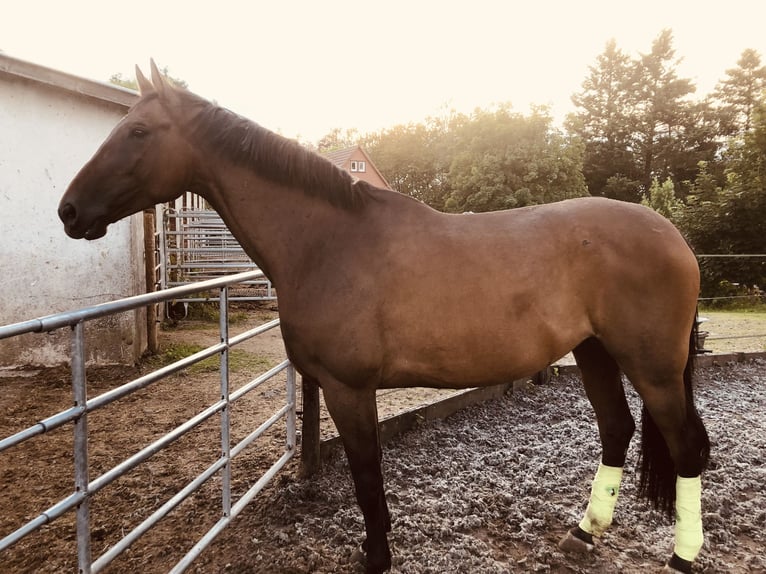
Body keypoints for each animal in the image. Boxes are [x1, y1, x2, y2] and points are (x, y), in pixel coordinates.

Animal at [57, 63, 712, 574]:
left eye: (138, 131)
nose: (69, 211)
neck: (328, 241)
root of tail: (673, 235)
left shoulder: (348, 387)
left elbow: (367, 476)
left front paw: (376, 557)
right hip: (595, 350)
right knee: (617, 431)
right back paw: (583, 534)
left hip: (652, 365)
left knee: (686, 447)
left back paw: (682, 556)